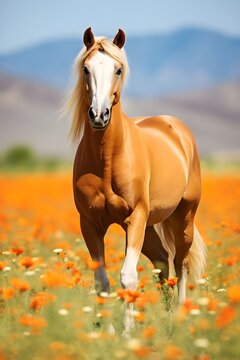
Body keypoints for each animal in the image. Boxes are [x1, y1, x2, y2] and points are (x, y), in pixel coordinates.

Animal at [67, 28, 206, 334]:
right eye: (86, 69)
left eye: (118, 69)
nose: (99, 115)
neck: (108, 159)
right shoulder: (89, 224)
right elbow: (102, 282)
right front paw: (107, 333)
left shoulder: (134, 218)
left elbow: (127, 277)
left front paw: (127, 332)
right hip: (151, 226)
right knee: (163, 262)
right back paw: (166, 317)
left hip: (182, 218)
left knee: (180, 263)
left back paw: (179, 317)